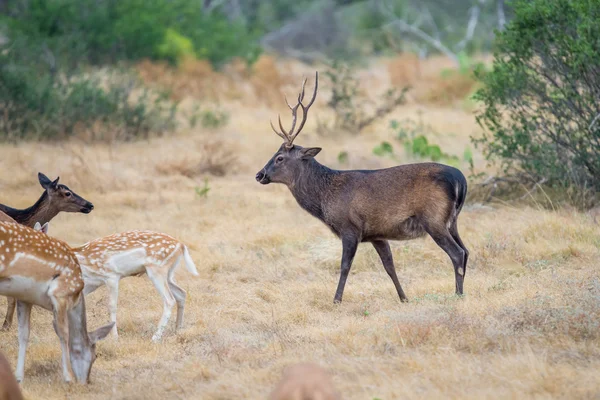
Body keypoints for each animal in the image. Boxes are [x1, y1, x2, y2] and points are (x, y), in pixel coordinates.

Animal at [0, 222, 113, 384]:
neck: (76, 297)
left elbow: (23, 333)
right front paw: (68, 377)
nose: (85, 382)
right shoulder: (60, 293)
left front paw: (19, 377)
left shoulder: (24, 297)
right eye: (95, 356)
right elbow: (63, 332)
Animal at [253, 72, 468, 304]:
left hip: (434, 218)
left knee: (457, 253)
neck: (325, 198)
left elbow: (345, 266)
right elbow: (389, 266)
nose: (259, 175)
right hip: (451, 221)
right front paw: (404, 298)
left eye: (280, 158)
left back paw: (458, 295)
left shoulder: (350, 227)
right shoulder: (377, 233)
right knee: (466, 250)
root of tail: (461, 180)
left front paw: (336, 300)